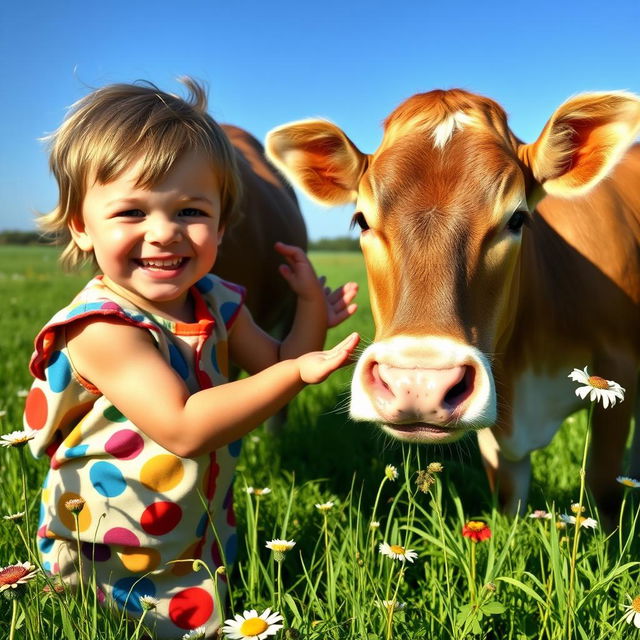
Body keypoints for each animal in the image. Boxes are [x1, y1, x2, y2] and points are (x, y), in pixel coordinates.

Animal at [264, 90, 640, 512]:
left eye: (518, 219)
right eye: (361, 219)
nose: (418, 384)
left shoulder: (619, 367)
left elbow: (605, 486)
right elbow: (508, 496)